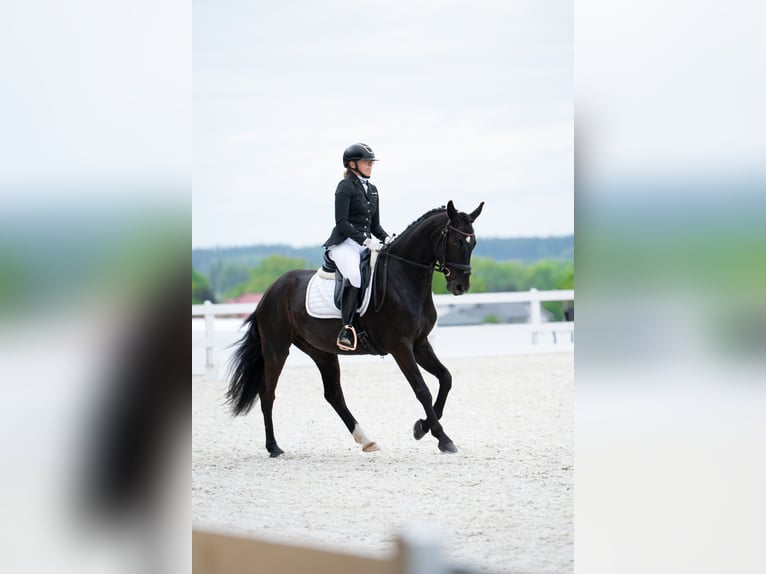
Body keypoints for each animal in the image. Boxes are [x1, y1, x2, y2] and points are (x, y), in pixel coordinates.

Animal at [226, 200, 484, 456]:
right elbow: (422, 389)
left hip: (321, 352)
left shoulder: (419, 343)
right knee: (268, 393)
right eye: (456, 242)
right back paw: (274, 447)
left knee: (333, 395)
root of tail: (270, 292)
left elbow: (445, 378)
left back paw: (366, 440)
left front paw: (421, 427)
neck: (404, 277)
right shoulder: (400, 346)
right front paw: (442, 438)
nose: (460, 286)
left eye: (473, 243)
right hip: (276, 349)